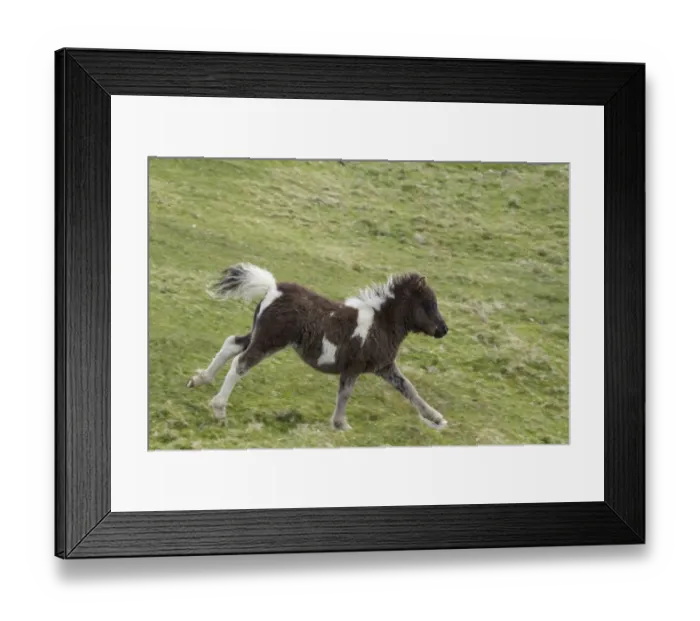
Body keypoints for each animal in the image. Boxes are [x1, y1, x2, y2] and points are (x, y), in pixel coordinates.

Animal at [186, 263, 450, 431]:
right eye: (429, 304)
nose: (443, 329)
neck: (380, 324)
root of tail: (273, 288)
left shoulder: (384, 367)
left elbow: (409, 389)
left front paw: (437, 419)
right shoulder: (354, 367)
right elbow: (345, 393)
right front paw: (341, 424)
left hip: (258, 335)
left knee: (231, 344)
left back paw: (199, 379)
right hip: (269, 340)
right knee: (240, 363)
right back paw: (219, 409)